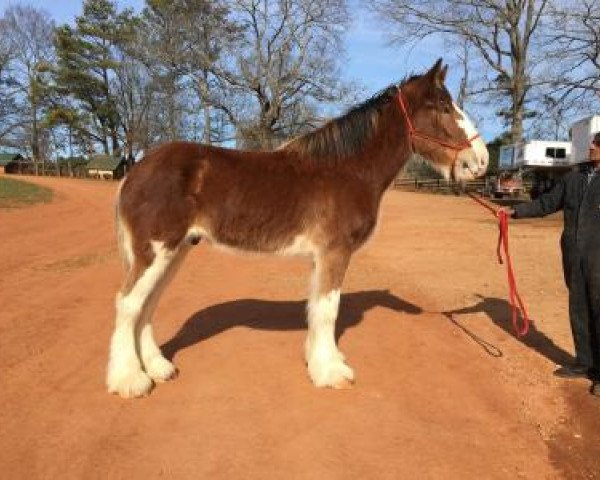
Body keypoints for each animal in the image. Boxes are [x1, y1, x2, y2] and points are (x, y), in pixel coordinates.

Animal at [108, 60, 490, 398]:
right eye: (443, 107)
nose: (481, 161)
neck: (347, 169)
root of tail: (135, 171)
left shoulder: (321, 256)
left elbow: (317, 309)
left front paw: (321, 360)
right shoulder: (335, 252)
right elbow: (329, 309)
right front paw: (331, 374)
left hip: (175, 251)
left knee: (147, 305)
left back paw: (158, 368)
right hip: (157, 251)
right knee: (128, 304)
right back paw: (129, 380)